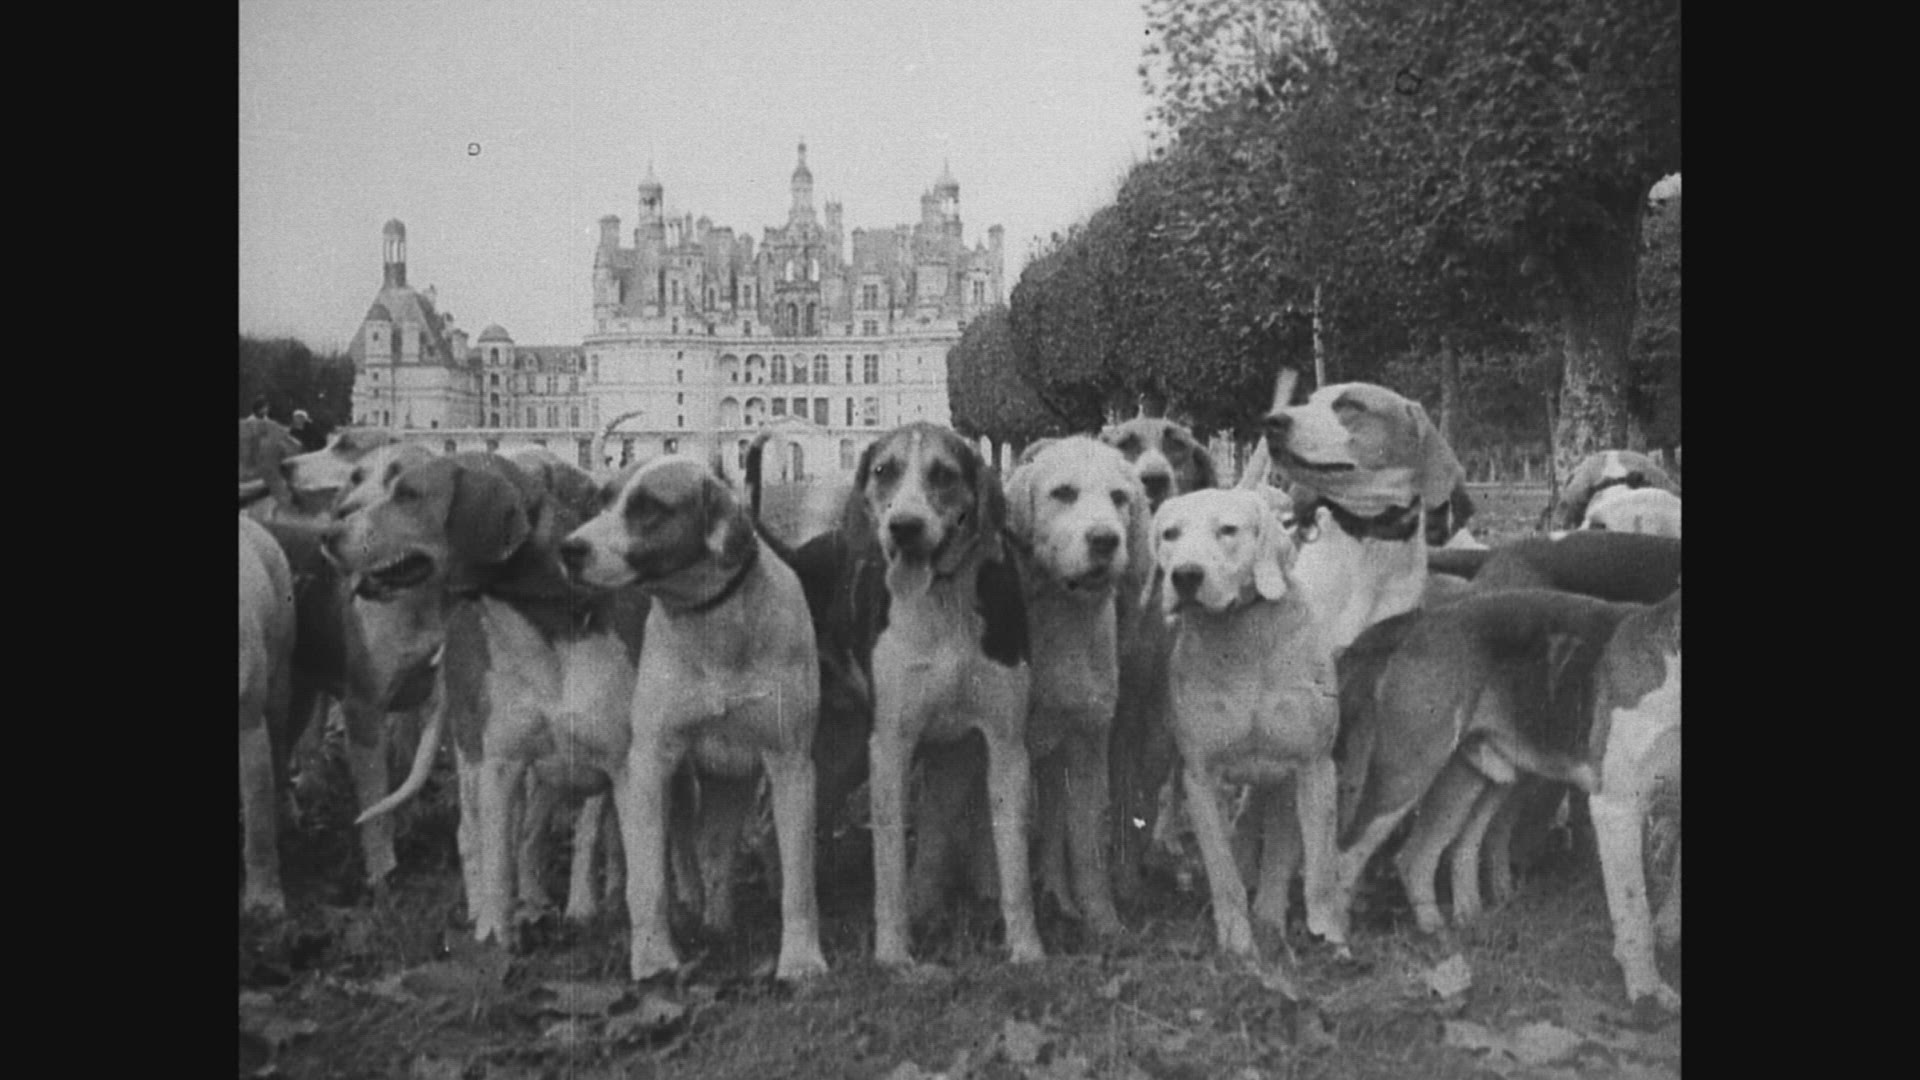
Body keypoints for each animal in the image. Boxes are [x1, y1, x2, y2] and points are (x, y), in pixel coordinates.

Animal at [561, 453, 828, 981]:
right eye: (604, 499)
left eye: (648, 508)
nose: (569, 548)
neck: (713, 628)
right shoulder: (647, 765)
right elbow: (647, 880)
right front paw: (653, 958)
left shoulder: (789, 765)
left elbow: (798, 883)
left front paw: (801, 961)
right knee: (595, 831)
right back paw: (584, 902)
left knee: (698, 843)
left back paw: (707, 910)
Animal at [849, 422, 1042, 967]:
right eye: (883, 470)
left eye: (944, 474)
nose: (904, 527)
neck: (942, 601)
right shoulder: (890, 748)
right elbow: (889, 868)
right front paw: (894, 955)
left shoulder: (1006, 745)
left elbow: (1014, 867)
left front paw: (1026, 949)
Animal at [1000, 436, 1153, 936]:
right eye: (1063, 493)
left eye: (1120, 498)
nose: (1105, 540)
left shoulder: (1088, 740)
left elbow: (1086, 847)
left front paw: (1103, 922)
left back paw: (1059, 897)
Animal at [1153, 486, 1345, 958]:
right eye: (1169, 534)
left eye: (1228, 530)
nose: (1185, 576)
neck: (1243, 640)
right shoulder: (1203, 776)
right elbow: (1223, 872)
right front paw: (1238, 944)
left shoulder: (1312, 768)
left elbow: (1315, 868)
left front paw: (1326, 937)